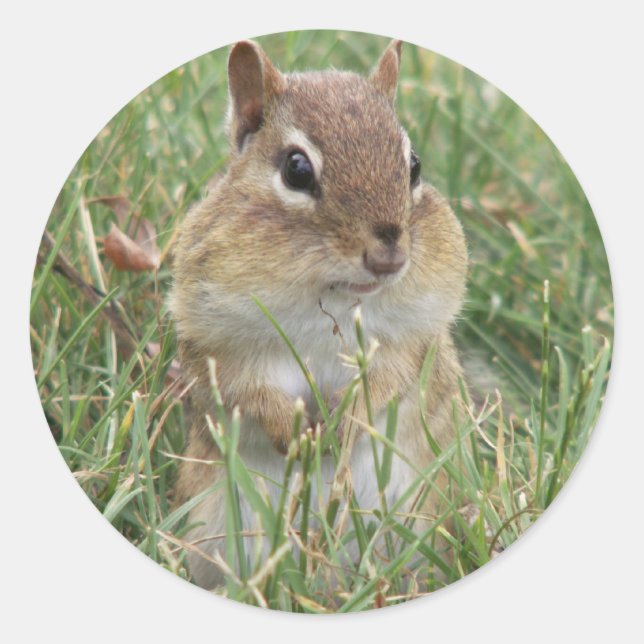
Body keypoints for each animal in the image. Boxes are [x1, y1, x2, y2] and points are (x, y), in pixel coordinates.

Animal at [169, 39, 468, 590]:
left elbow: (386, 383)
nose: (388, 254)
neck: (330, 295)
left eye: (414, 166)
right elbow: (247, 393)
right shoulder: (220, 345)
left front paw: (345, 428)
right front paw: (294, 434)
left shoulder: (407, 341)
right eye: (296, 170)